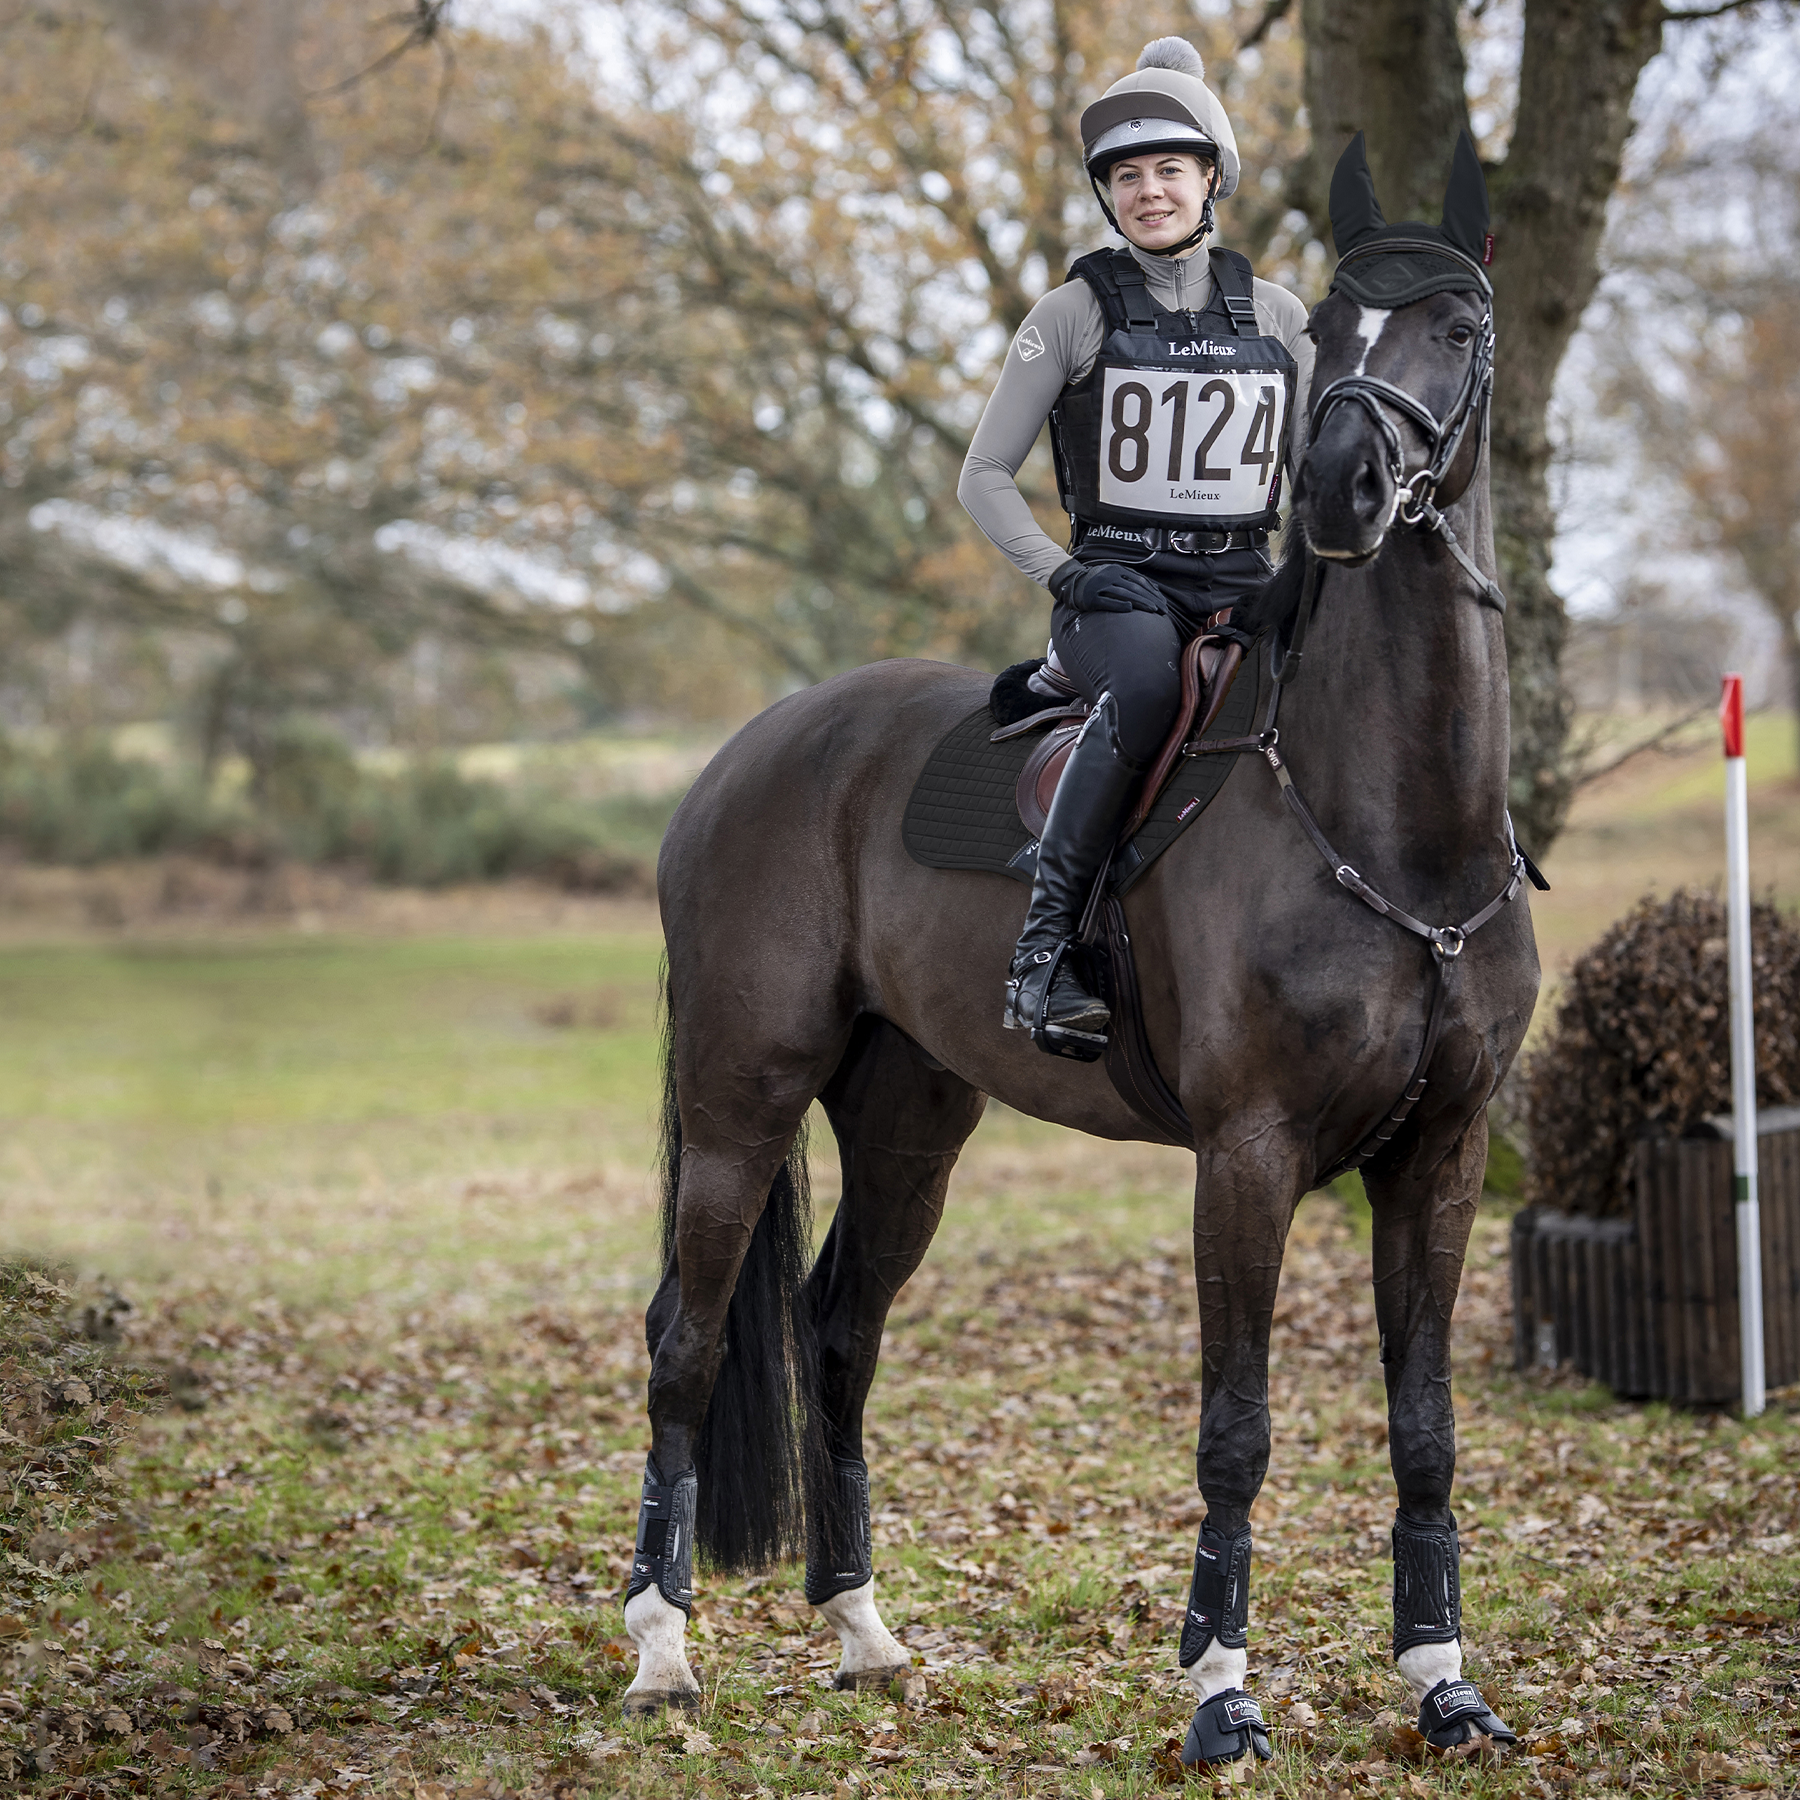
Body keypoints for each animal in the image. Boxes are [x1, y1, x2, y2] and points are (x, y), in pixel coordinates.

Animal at [626, 133, 1540, 1764]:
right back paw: (661, 1650)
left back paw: (863, 1632)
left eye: (1456, 323)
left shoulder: (1441, 1155)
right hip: (744, 1099)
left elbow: (1426, 1427)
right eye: (1335, 332)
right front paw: (1220, 1693)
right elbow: (1236, 1430)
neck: (1398, 826)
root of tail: (745, 756)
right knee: (691, 1332)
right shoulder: (1247, 1156)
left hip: (911, 1117)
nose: (1342, 488)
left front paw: (1443, 1685)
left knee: (837, 1330)